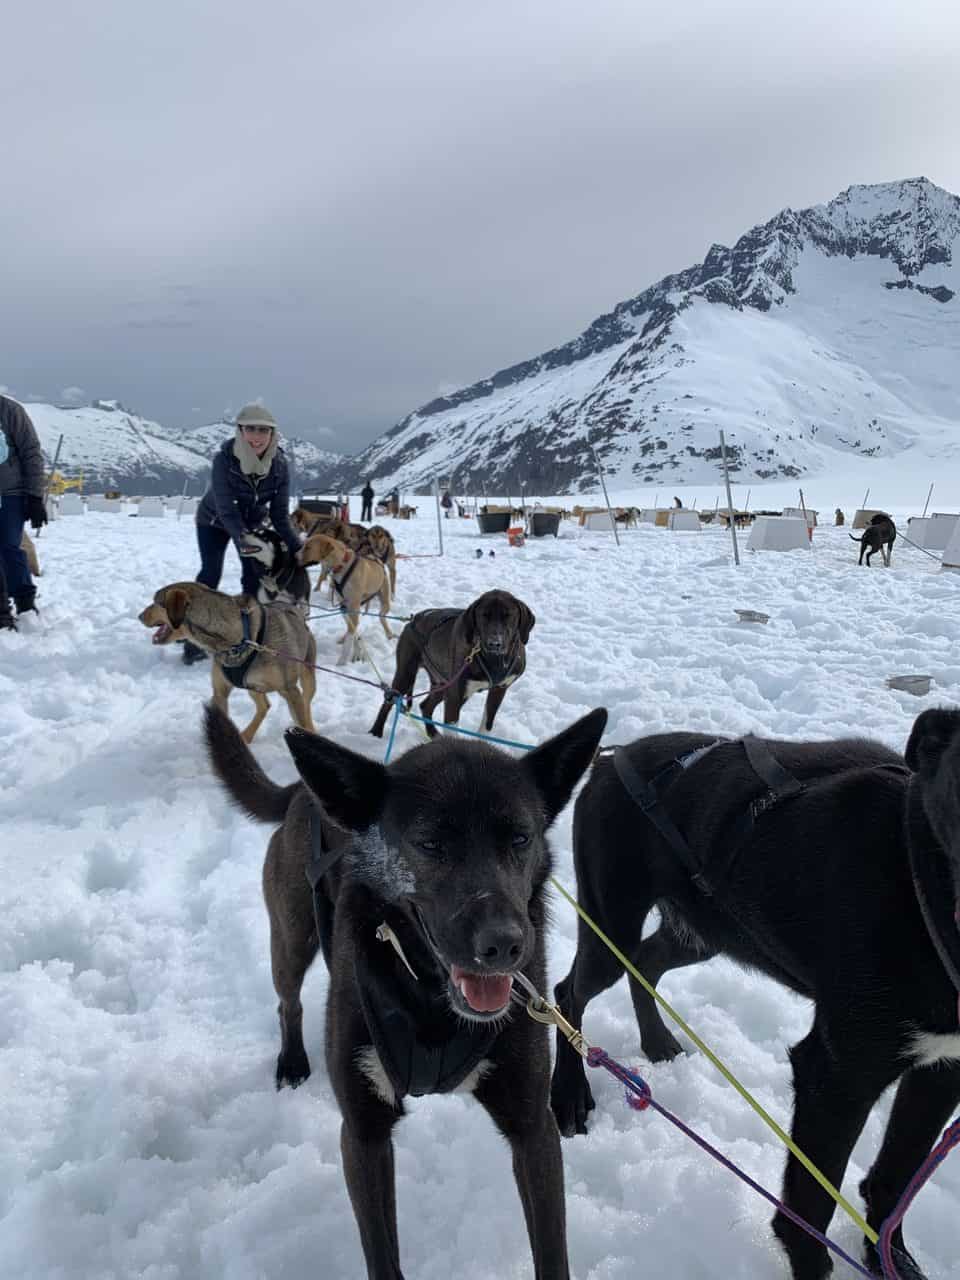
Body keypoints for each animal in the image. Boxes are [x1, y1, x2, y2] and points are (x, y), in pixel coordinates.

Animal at [203, 701, 609, 1280]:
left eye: (520, 838)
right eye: (430, 842)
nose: (505, 944)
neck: (430, 1004)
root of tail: (304, 791)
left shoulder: (533, 1128)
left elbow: (552, 1255)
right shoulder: (364, 1133)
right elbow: (384, 1258)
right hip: (291, 941)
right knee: (289, 1001)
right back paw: (292, 1061)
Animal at [547, 711, 960, 1280]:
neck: (914, 877)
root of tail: (614, 757)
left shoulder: (941, 1070)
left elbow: (894, 1181)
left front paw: (889, 1259)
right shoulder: (837, 1076)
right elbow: (808, 1211)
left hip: (704, 931)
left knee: (646, 965)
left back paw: (657, 1041)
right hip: (613, 926)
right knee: (569, 992)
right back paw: (568, 1094)